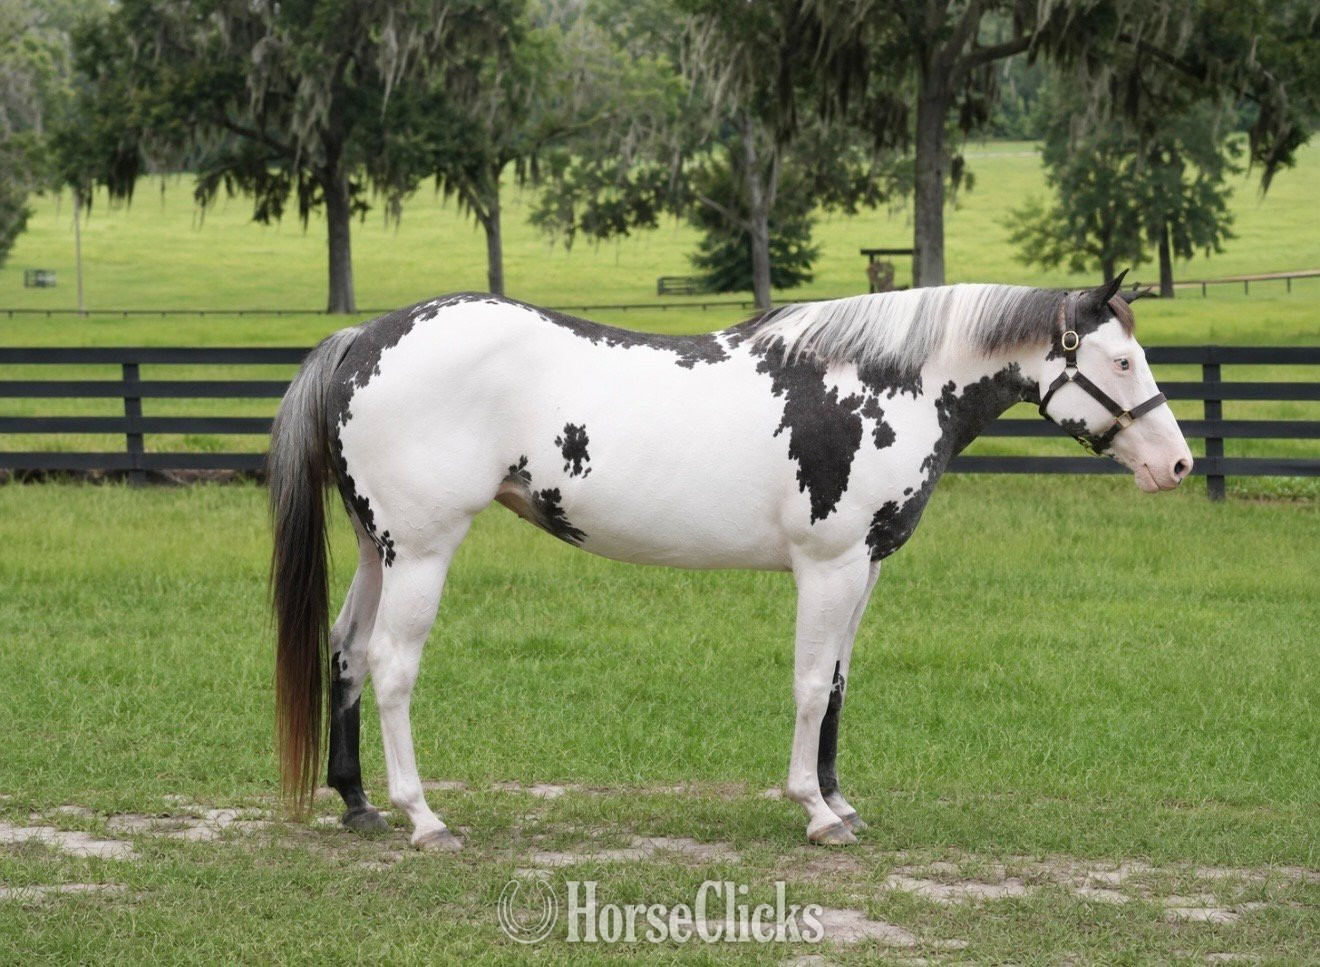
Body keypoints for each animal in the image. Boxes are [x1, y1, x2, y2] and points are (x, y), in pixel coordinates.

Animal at [268, 274, 1193, 850]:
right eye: (1120, 360)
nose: (1176, 464)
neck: (875, 382)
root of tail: (364, 338)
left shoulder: (865, 567)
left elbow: (840, 683)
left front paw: (840, 799)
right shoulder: (828, 566)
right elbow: (811, 683)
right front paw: (815, 811)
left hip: (379, 550)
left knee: (347, 651)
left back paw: (357, 804)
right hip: (421, 550)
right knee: (392, 666)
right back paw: (423, 817)